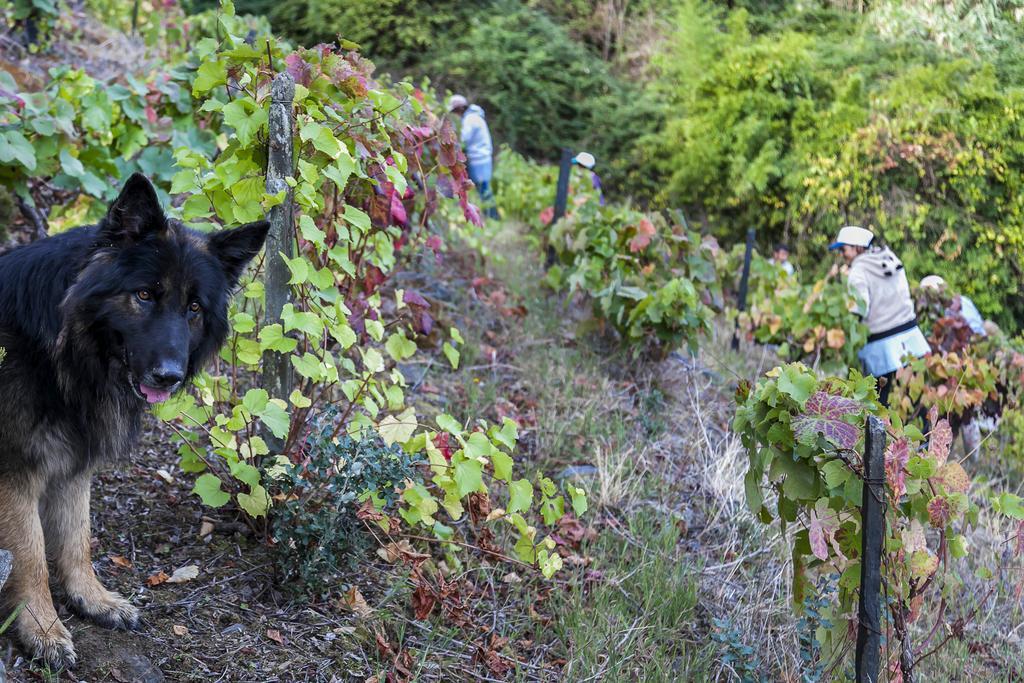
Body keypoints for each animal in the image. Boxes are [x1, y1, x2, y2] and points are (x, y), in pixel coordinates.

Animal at [0, 172, 268, 667]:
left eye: (194, 308)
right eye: (144, 295)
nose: (169, 375)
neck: (59, 348)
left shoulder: (73, 461)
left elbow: (76, 538)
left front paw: (91, 599)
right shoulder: (14, 472)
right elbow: (31, 555)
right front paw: (43, 628)